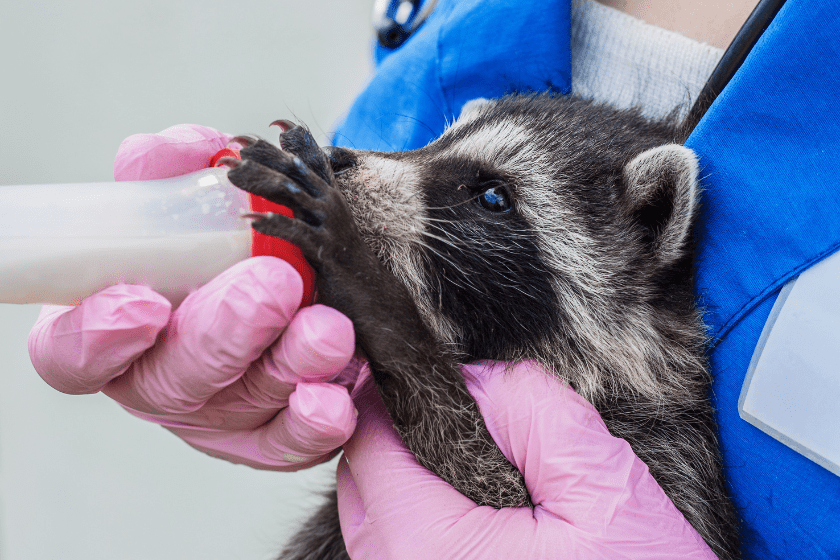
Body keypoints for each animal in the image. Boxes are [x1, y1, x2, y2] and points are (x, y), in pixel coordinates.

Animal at [225, 94, 740, 556]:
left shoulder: (667, 454)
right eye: (436, 142)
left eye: (493, 196)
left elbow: (479, 470)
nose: (336, 160)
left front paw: (365, 279)